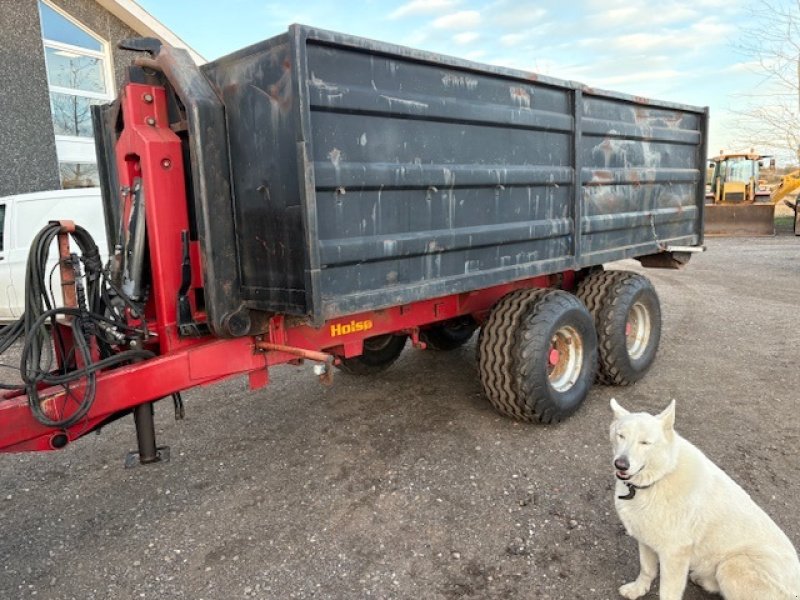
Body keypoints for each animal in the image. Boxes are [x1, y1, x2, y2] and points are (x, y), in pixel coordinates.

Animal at [608, 398, 796, 600]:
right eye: (621, 436)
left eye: (645, 443)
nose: (621, 464)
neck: (660, 477)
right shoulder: (645, 539)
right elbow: (646, 569)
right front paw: (638, 589)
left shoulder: (674, 553)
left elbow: (667, 592)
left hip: (732, 565)